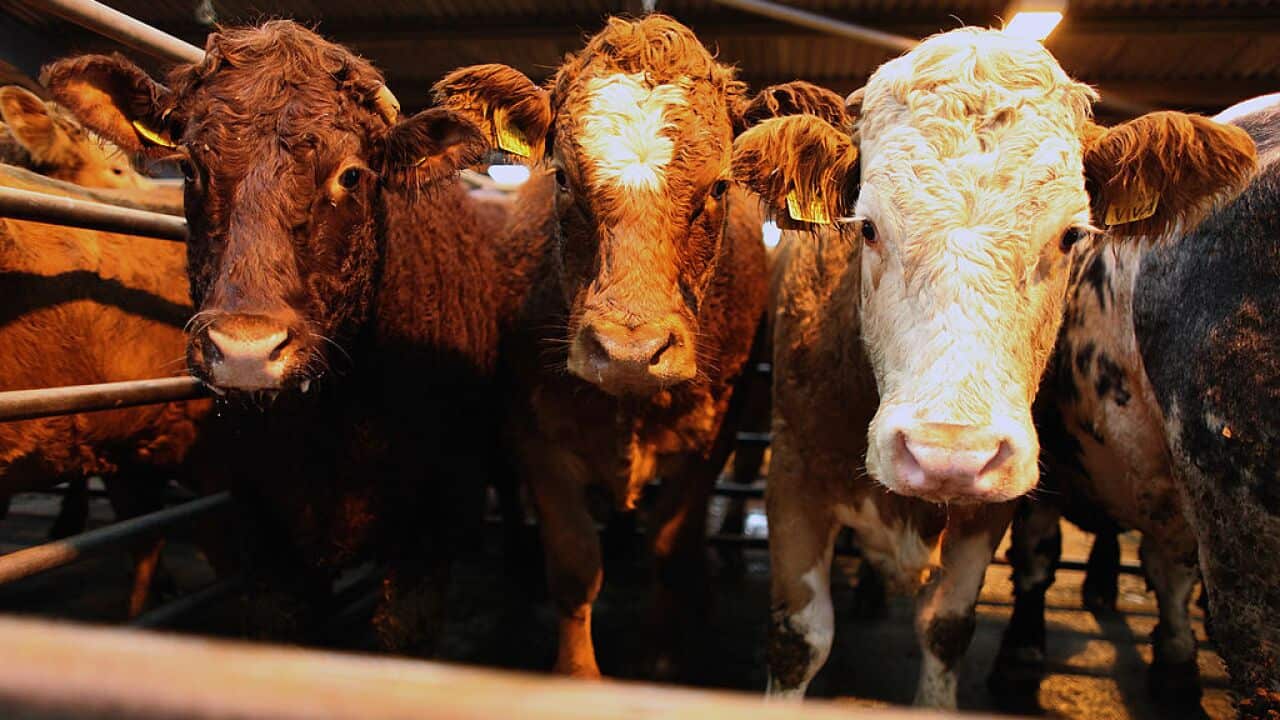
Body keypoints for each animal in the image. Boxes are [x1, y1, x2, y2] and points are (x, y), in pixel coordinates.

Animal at [45, 21, 513, 651]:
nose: (245, 351)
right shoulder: (266, 544)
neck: (335, 422)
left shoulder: (427, 541)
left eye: (352, 174)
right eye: (189, 167)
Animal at [431, 15, 848, 677]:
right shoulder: (537, 436)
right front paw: (578, 674)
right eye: (563, 178)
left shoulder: (711, 441)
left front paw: (665, 661)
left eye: (718, 187)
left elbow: (671, 550)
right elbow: (575, 563)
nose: (629, 351)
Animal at [729, 28, 1256, 708]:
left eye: (1070, 235)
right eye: (867, 227)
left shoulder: (989, 513)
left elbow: (947, 629)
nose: (947, 454)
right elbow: (799, 640)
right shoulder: (794, 477)